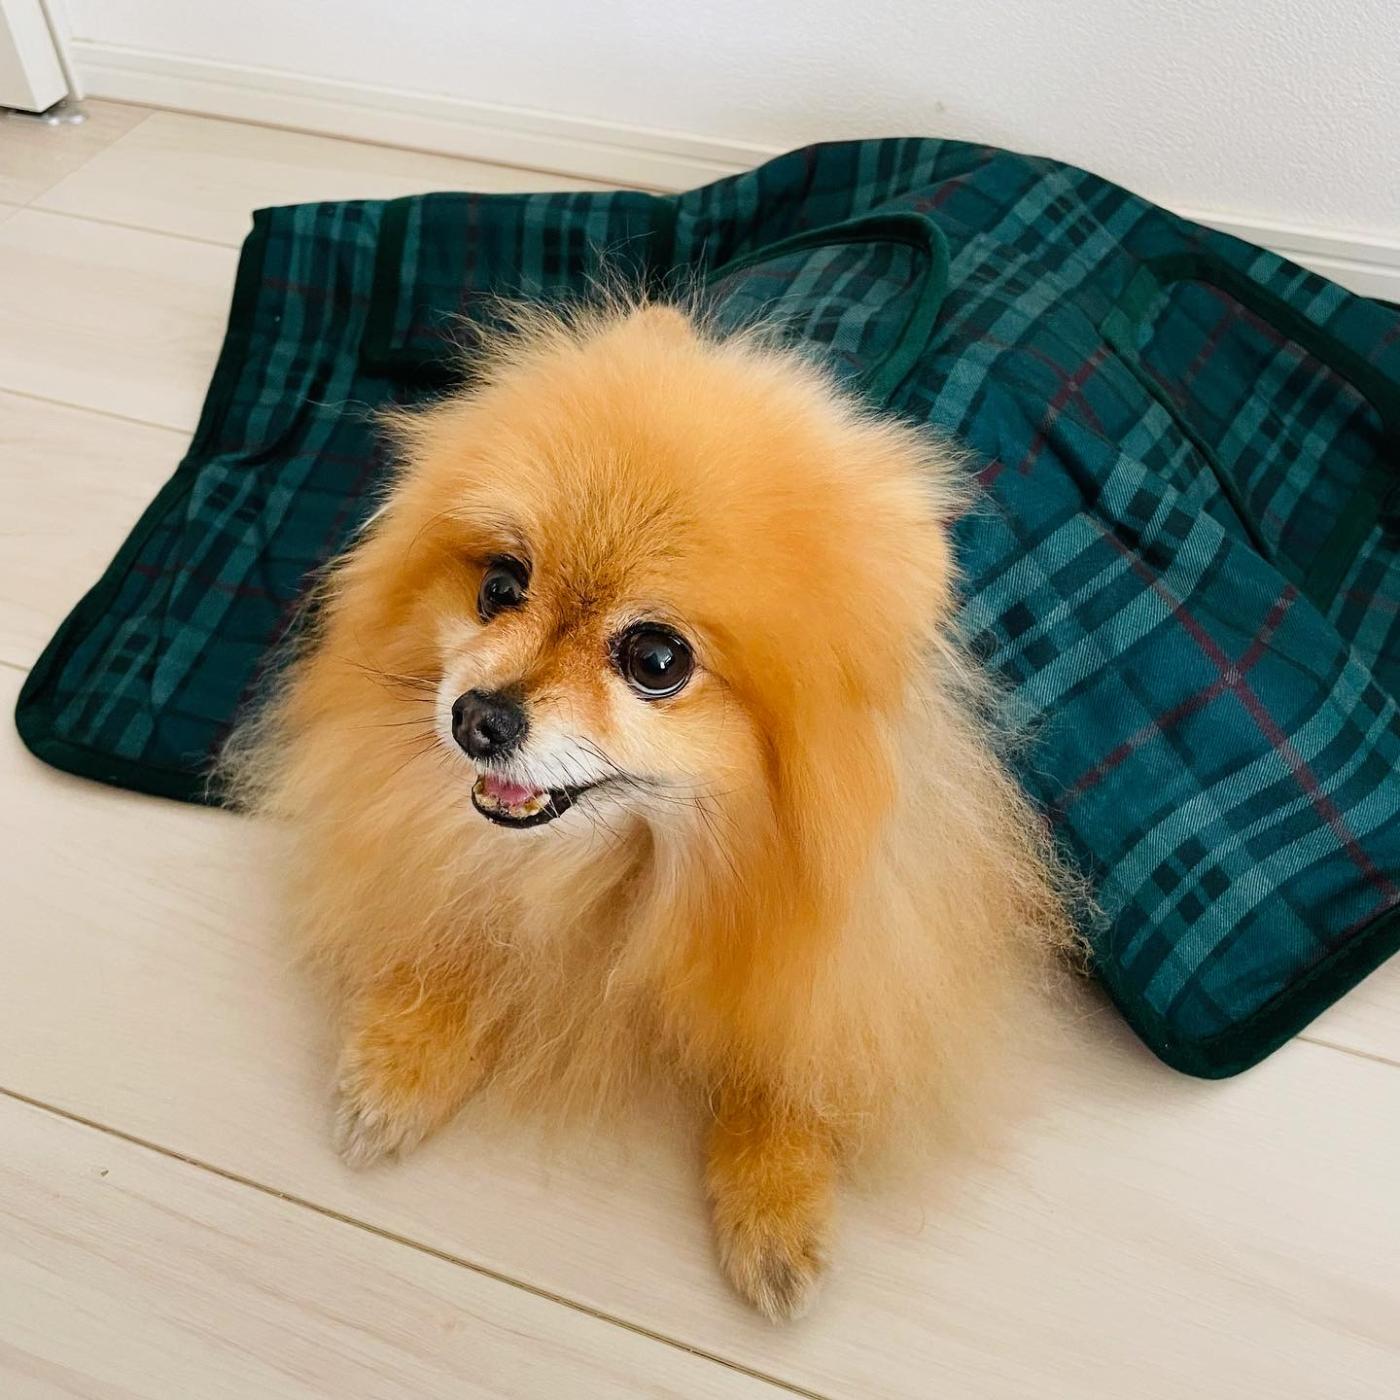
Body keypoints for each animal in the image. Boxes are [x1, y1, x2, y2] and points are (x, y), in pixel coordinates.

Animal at [227, 300, 1074, 1320]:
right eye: (500, 586)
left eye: (657, 660)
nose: (477, 717)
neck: (625, 865)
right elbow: (460, 923)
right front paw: (404, 1056)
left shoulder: (857, 937)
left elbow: (796, 1048)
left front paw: (772, 1194)